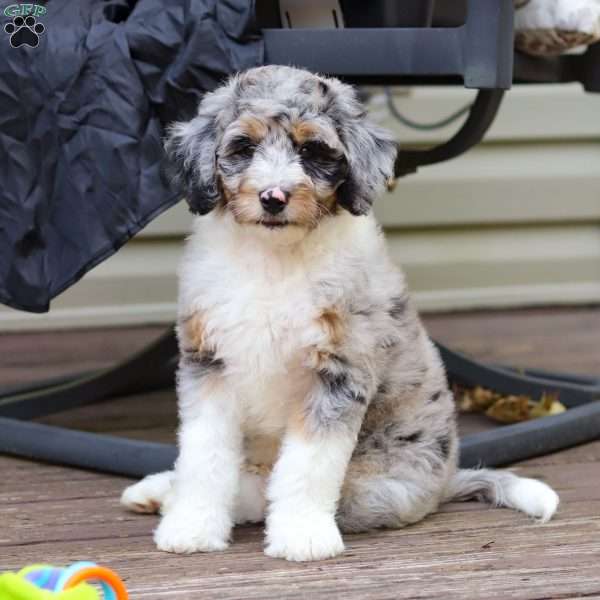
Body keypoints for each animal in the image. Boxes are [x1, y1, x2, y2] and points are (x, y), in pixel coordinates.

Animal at [120, 65, 556, 564]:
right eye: (243, 147)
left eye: (311, 150)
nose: (273, 197)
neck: (275, 259)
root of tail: (446, 482)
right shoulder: (208, 362)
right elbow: (204, 455)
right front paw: (191, 526)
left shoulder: (338, 370)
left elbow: (307, 466)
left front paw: (302, 536)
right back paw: (161, 491)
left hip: (377, 486)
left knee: (274, 489)